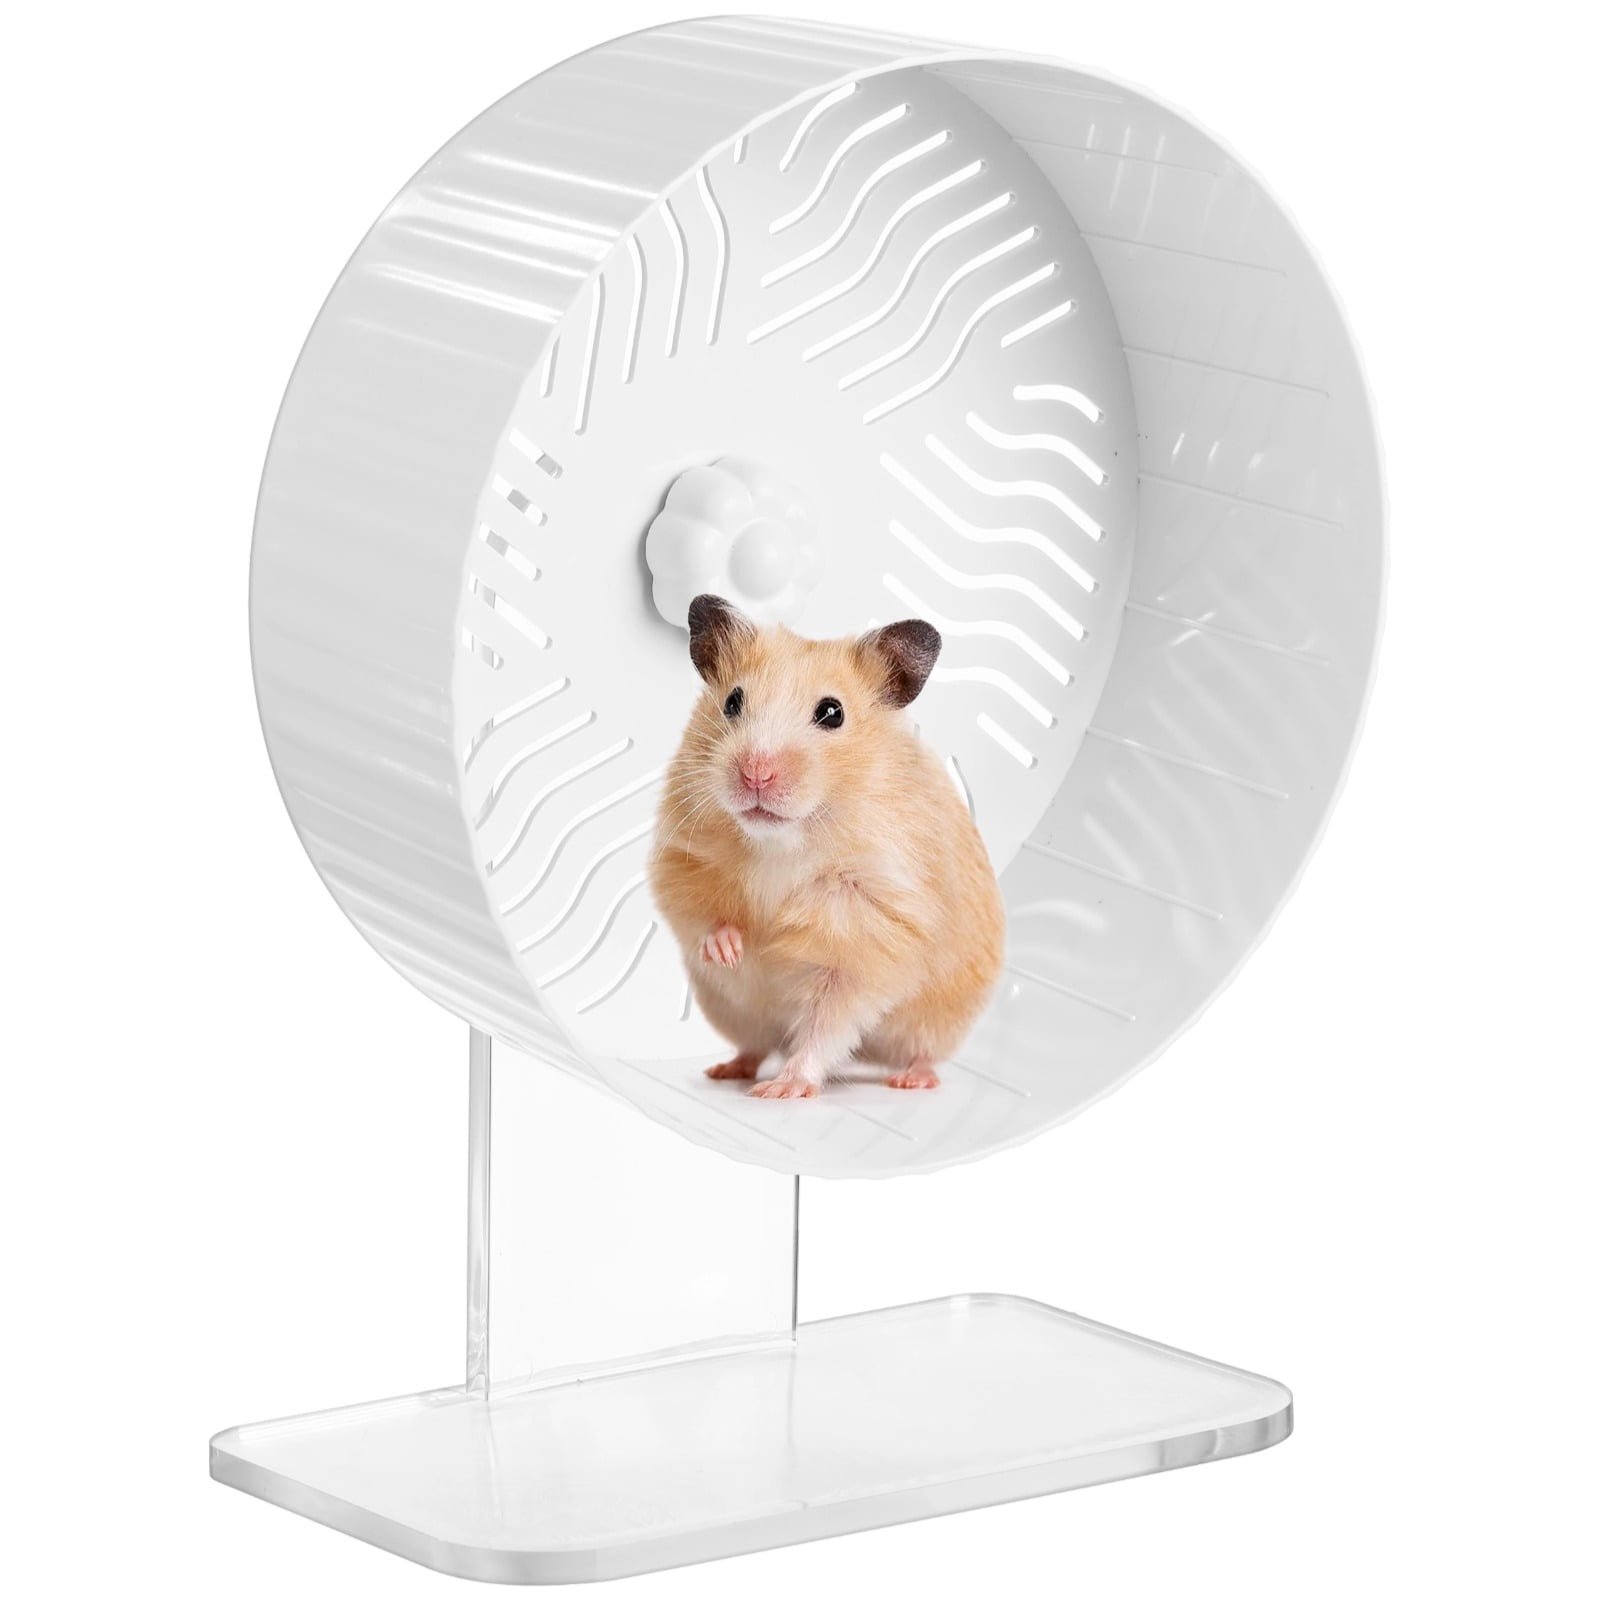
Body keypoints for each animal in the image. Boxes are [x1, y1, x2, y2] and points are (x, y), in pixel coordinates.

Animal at [649, 594, 1004, 1099]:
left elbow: (826, 1023)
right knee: (756, 1045)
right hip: (733, 1011)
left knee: (920, 1051)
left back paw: (911, 1080)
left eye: (832, 713)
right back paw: (726, 1069)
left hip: (940, 1019)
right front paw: (732, 950)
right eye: (732, 701)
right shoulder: (681, 856)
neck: (782, 841)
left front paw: (783, 1090)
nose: (756, 774)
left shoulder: (866, 935)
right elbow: (699, 914)